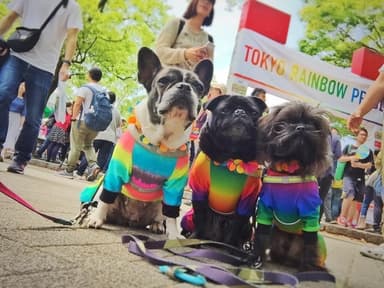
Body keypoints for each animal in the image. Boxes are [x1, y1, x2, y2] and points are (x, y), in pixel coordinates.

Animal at [254, 102, 332, 272]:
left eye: (313, 124)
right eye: (285, 122)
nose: (301, 127)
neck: (290, 169)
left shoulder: (310, 216)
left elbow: (309, 244)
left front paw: (307, 269)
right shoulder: (264, 211)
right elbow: (261, 236)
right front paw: (256, 259)